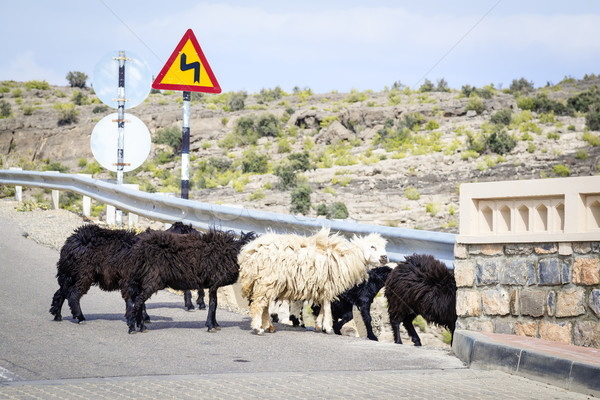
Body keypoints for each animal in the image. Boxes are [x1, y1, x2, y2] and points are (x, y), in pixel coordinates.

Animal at [125, 228, 256, 334]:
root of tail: (138, 251)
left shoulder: (214, 284)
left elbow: (214, 303)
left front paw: (214, 324)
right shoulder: (214, 282)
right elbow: (213, 304)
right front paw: (211, 326)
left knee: (139, 300)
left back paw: (140, 326)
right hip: (152, 279)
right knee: (138, 301)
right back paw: (134, 327)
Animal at [237, 228, 386, 334]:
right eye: (372, 246)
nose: (385, 257)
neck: (346, 257)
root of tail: (250, 251)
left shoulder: (323, 286)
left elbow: (323, 306)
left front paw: (319, 325)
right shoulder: (328, 285)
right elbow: (327, 306)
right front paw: (328, 327)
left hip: (266, 282)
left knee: (264, 304)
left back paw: (269, 326)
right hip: (267, 279)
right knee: (258, 304)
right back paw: (259, 328)